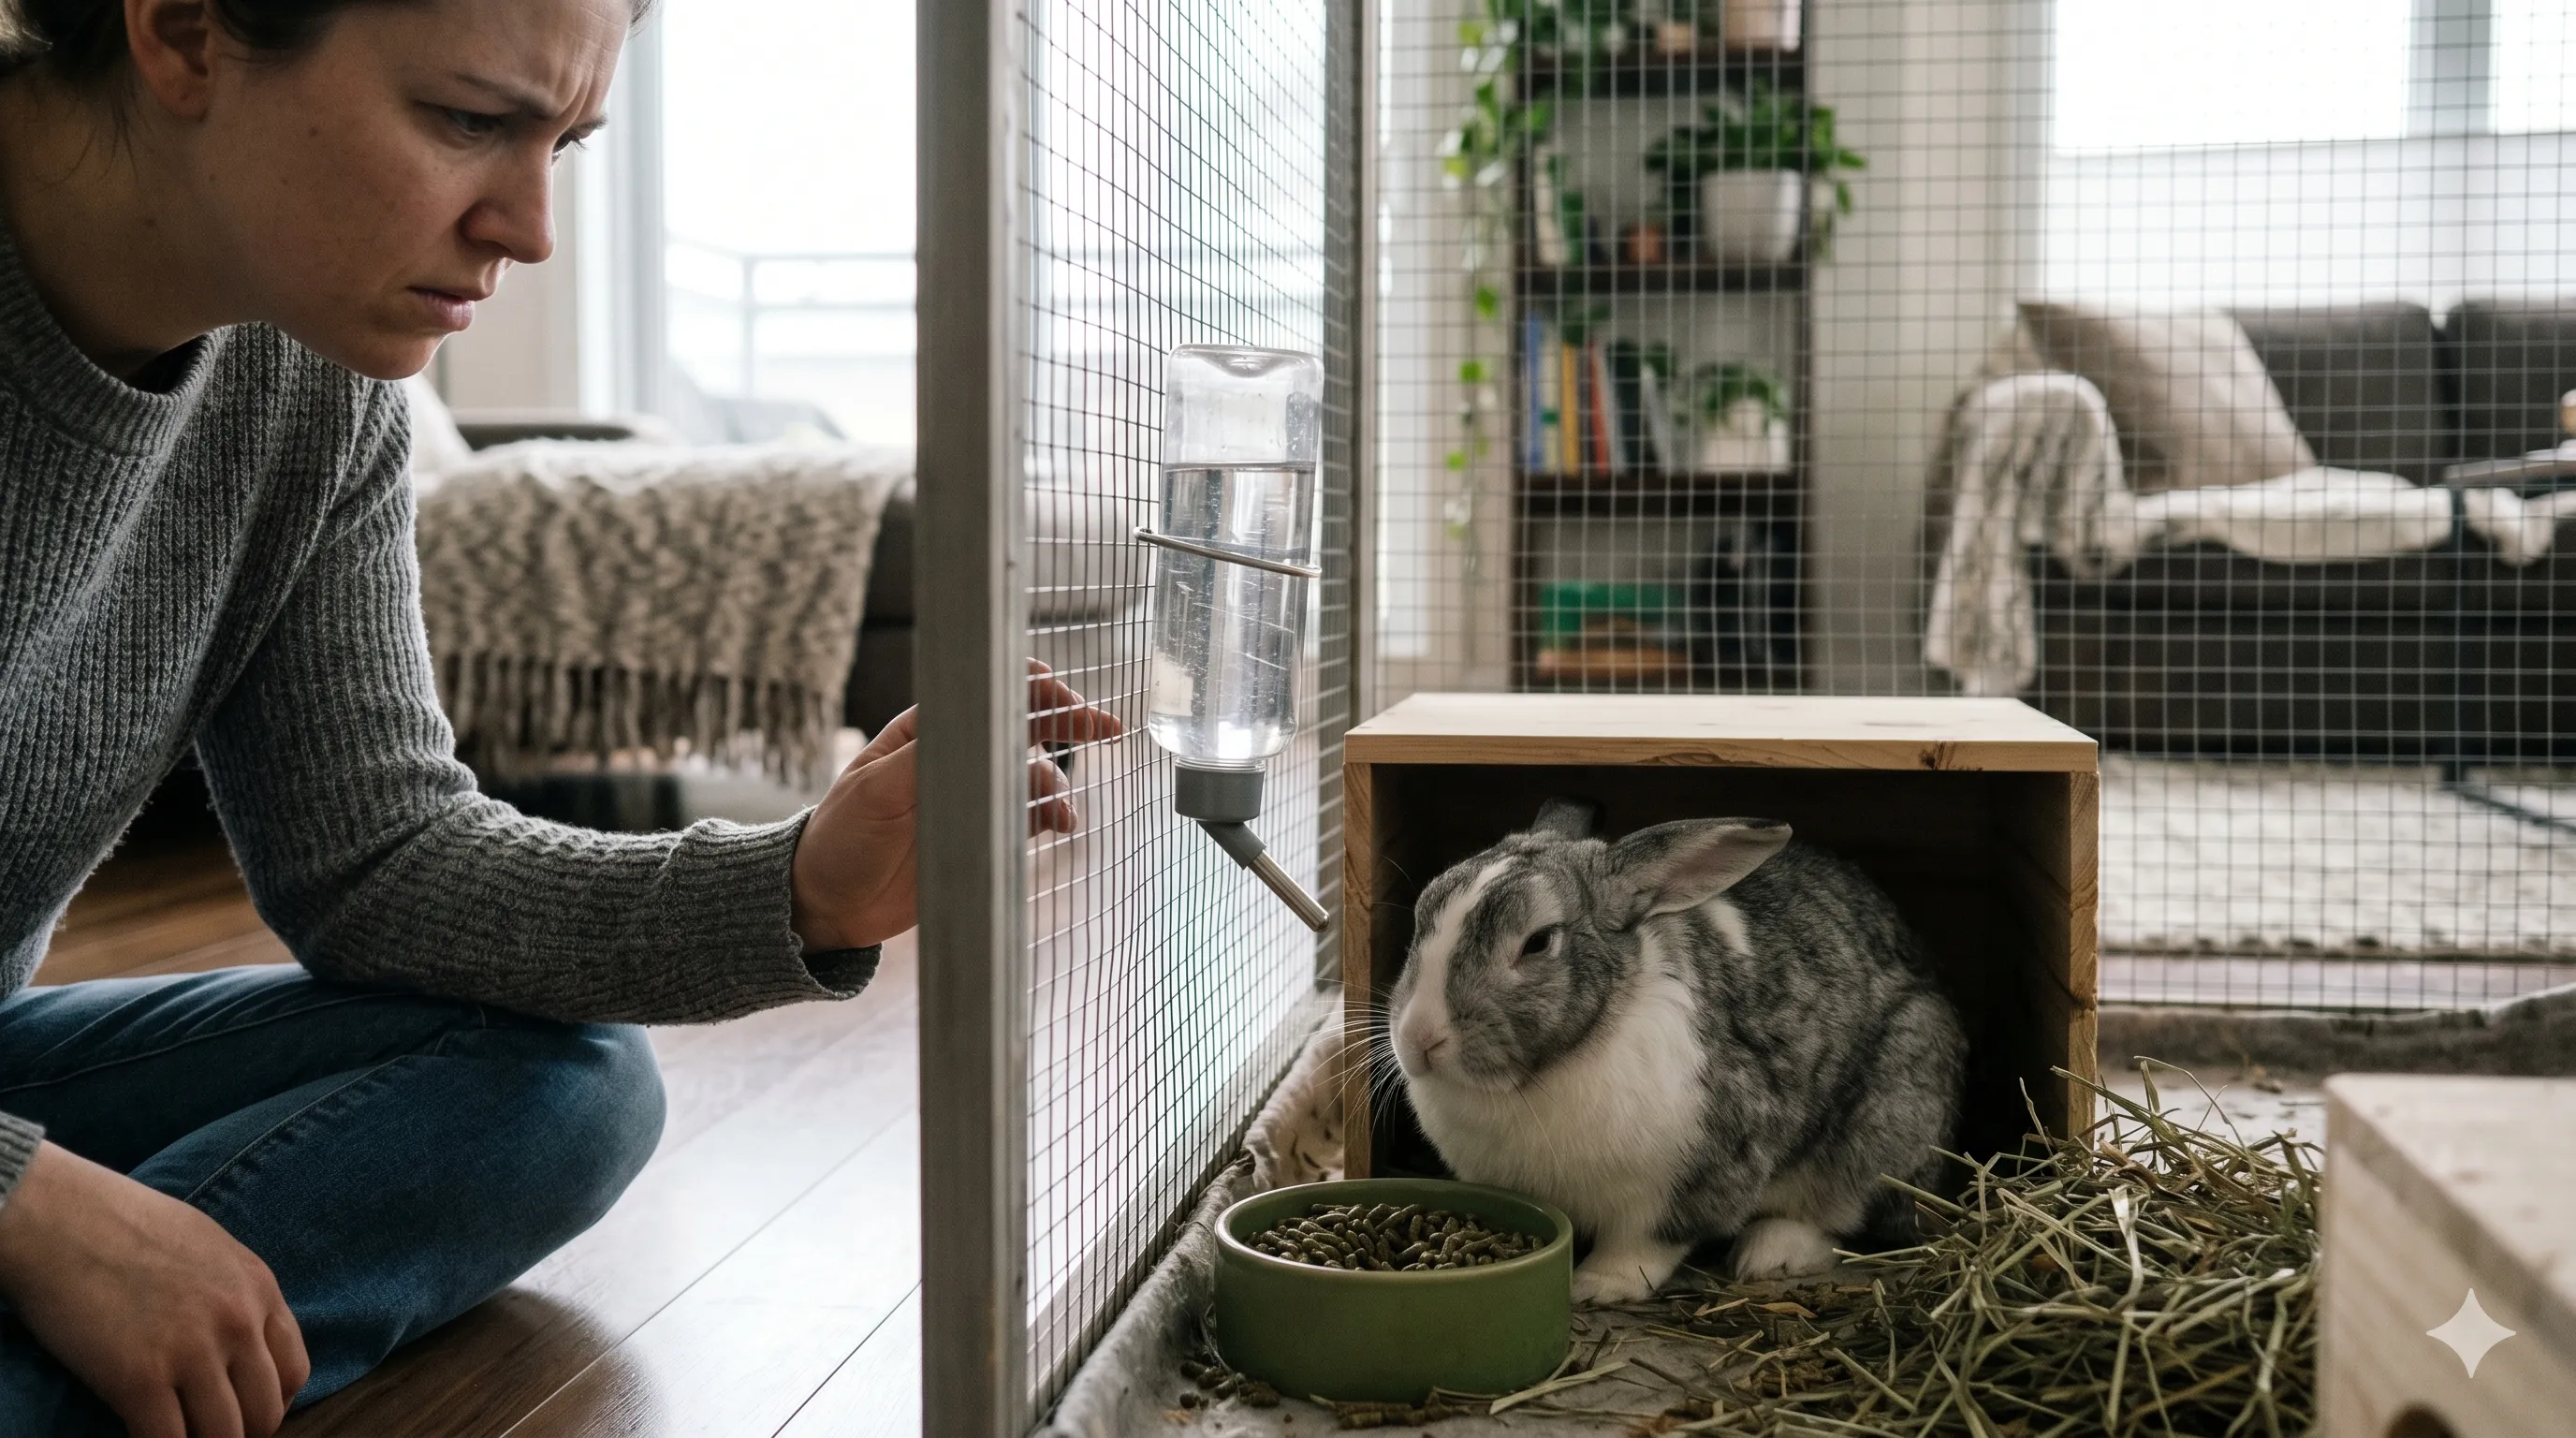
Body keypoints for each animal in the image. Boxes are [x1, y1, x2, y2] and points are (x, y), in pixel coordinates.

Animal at [1385, 799, 1966, 1305]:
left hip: (1885, 1122)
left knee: (1839, 1214)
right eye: (1421, 913)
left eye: (1538, 942)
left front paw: (1595, 1287)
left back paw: (1768, 1254)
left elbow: (1645, 1246)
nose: (1419, 1039)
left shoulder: (1689, 1181)